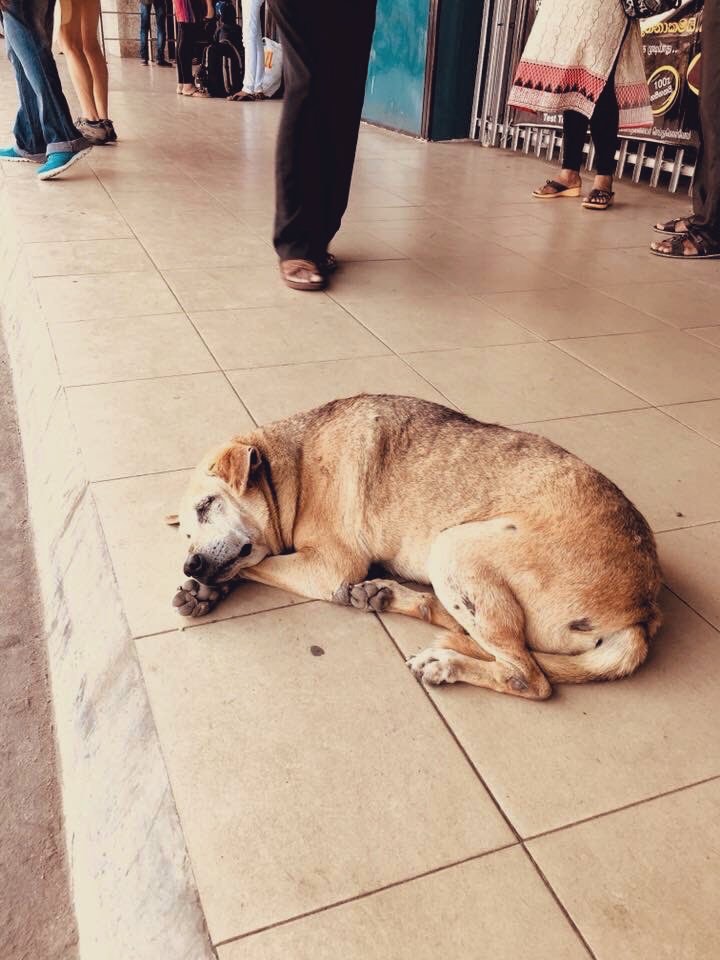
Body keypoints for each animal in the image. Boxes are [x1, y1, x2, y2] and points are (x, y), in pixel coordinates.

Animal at [169, 394, 664, 700]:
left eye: (207, 505)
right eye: (186, 535)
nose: (191, 565)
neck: (292, 467)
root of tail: (643, 611)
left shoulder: (330, 566)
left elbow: (257, 563)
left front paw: (210, 587)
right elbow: (248, 564)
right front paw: (205, 591)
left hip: (454, 546)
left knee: (527, 675)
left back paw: (444, 662)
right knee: (472, 631)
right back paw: (387, 597)